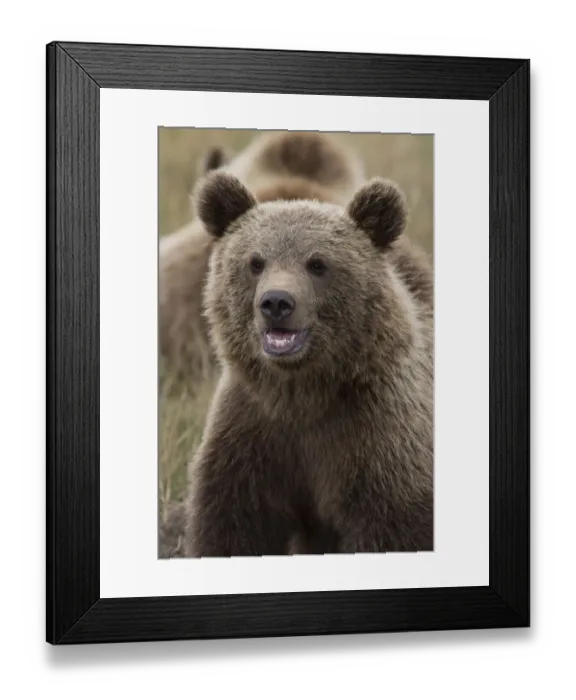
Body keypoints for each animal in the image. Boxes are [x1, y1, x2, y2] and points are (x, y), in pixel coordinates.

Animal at [181, 169, 434, 557]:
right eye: (255, 262)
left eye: (317, 263)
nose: (276, 303)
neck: (304, 394)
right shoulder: (252, 435)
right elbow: (230, 528)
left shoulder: (380, 441)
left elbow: (392, 528)